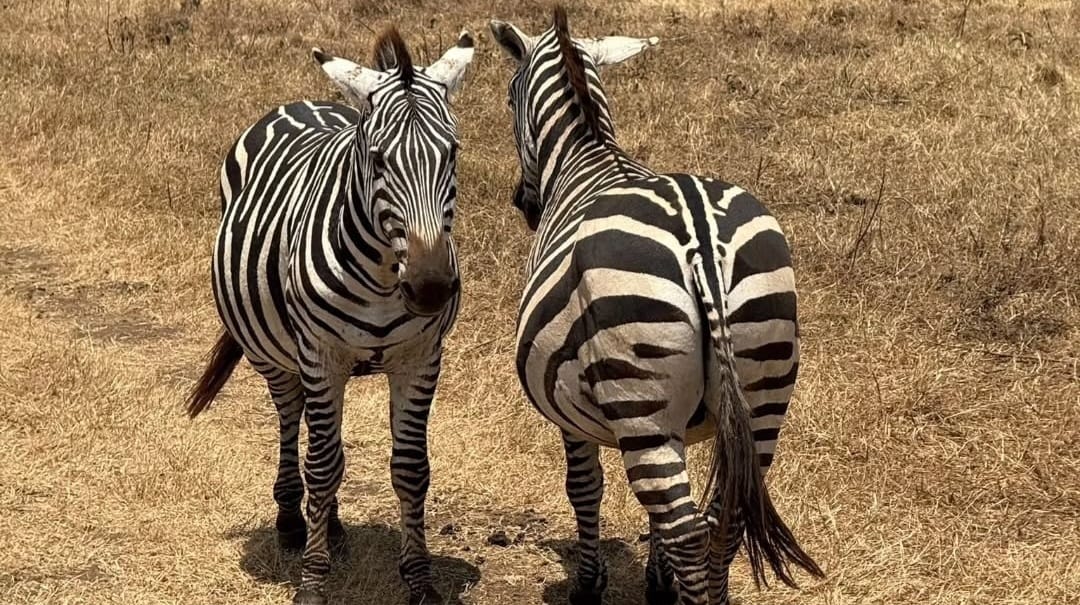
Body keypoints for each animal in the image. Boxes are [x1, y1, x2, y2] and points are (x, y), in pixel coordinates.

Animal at [185, 28, 474, 605]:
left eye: (451, 154)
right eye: (378, 160)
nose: (431, 287)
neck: (385, 274)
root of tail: (302, 102)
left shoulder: (420, 357)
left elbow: (410, 469)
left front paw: (420, 579)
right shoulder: (321, 354)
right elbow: (321, 467)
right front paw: (313, 582)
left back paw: (334, 525)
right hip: (277, 355)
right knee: (292, 418)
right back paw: (293, 523)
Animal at [489, 7, 824, 605]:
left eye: (509, 98)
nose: (523, 205)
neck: (589, 156)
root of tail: (701, 241)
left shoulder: (570, 408)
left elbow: (585, 488)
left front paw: (588, 586)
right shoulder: (680, 422)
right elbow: (656, 520)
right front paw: (656, 582)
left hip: (639, 392)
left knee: (688, 530)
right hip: (763, 390)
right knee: (720, 520)